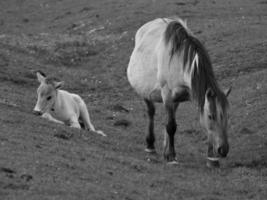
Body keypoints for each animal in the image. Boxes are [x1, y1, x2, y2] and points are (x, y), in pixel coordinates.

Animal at [128, 17, 232, 167]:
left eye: (227, 116)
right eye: (211, 116)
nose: (223, 150)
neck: (179, 62)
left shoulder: (184, 98)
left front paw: (212, 159)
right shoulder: (167, 95)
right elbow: (171, 126)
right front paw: (171, 156)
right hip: (146, 92)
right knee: (151, 113)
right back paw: (150, 146)